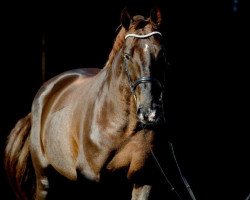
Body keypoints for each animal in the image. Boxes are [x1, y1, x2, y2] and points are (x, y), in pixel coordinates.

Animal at [4, 6, 168, 200]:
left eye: (161, 53)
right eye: (127, 56)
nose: (149, 112)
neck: (121, 126)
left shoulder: (143, 180)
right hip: (44, 180)